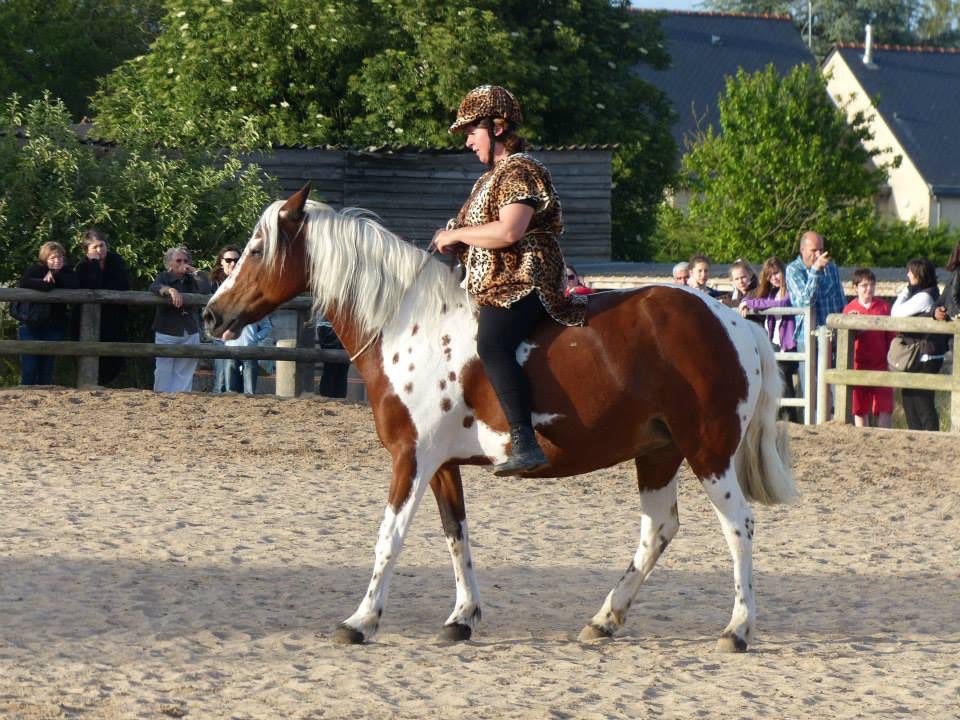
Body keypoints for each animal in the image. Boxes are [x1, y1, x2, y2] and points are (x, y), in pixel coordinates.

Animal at [206, 186, 800, 652]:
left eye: (256, 249)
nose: (212, 314)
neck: (409, 324)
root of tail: (733, 321)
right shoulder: (442, 465)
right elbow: (455, 534)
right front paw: (462, 618)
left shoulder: (411, 458)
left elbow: (389, 537)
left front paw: (361, 620)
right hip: (658, 452)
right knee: (658, 530)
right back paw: (605, 619)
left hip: (707, 451)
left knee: (738, 526)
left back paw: (738, 629)